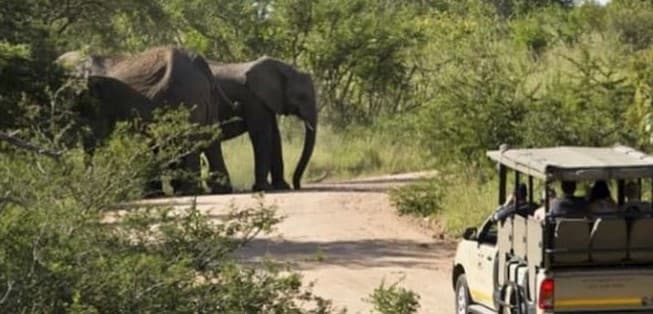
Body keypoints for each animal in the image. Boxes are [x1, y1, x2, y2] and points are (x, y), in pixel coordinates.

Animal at [56, 46, 234, 194]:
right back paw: (218, 191)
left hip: (187, 96)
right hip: (205, 98)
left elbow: (96, 139)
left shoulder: (96, 103)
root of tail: (201, 64)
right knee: (211, 140)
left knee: (189, 141)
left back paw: (189, 192)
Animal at [205, 57, 314, 193]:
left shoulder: (267, 101)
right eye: (302, 96)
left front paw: (282, 186)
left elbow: (275, 136)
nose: (297, 186)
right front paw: (264, 188)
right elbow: (262, 134)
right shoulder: (254, 99)